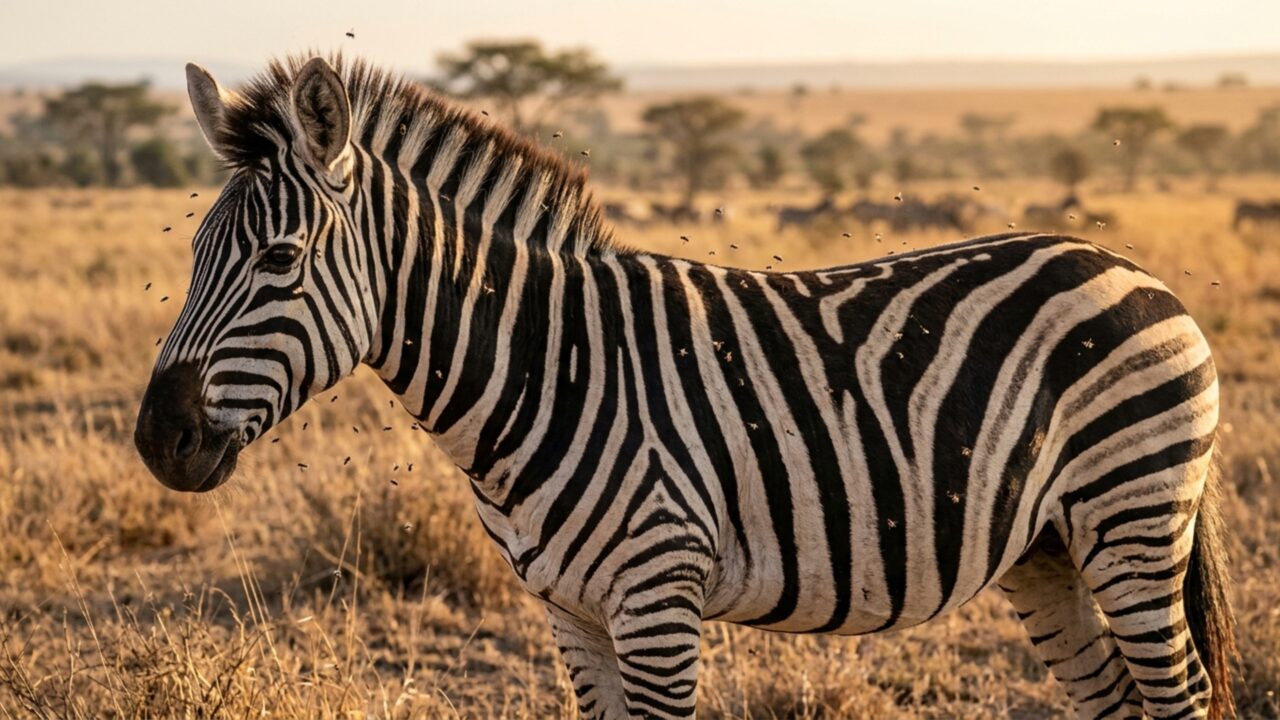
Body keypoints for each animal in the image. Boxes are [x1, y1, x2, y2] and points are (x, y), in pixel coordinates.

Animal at [134, 55, 1235, 719]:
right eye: (192, 253)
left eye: (279, 260)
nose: (157, 440)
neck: (547, 369)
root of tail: (1129, 268)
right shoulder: (570, 616)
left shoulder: (656, 598)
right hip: (1046, 550)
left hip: (1133, 521)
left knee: (1178, 693)